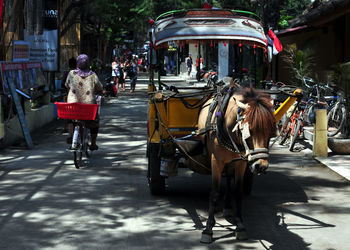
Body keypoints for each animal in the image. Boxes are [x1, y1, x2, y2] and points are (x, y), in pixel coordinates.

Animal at [197, 87, 276, 243]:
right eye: (249, 130)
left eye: (271, 131)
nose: (261, 165)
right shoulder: (216, 161)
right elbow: (214, 193)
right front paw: (208, 229)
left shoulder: (241, 163)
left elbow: (238, 192)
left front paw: (240, 225)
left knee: (229, 179)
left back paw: (227, 207)